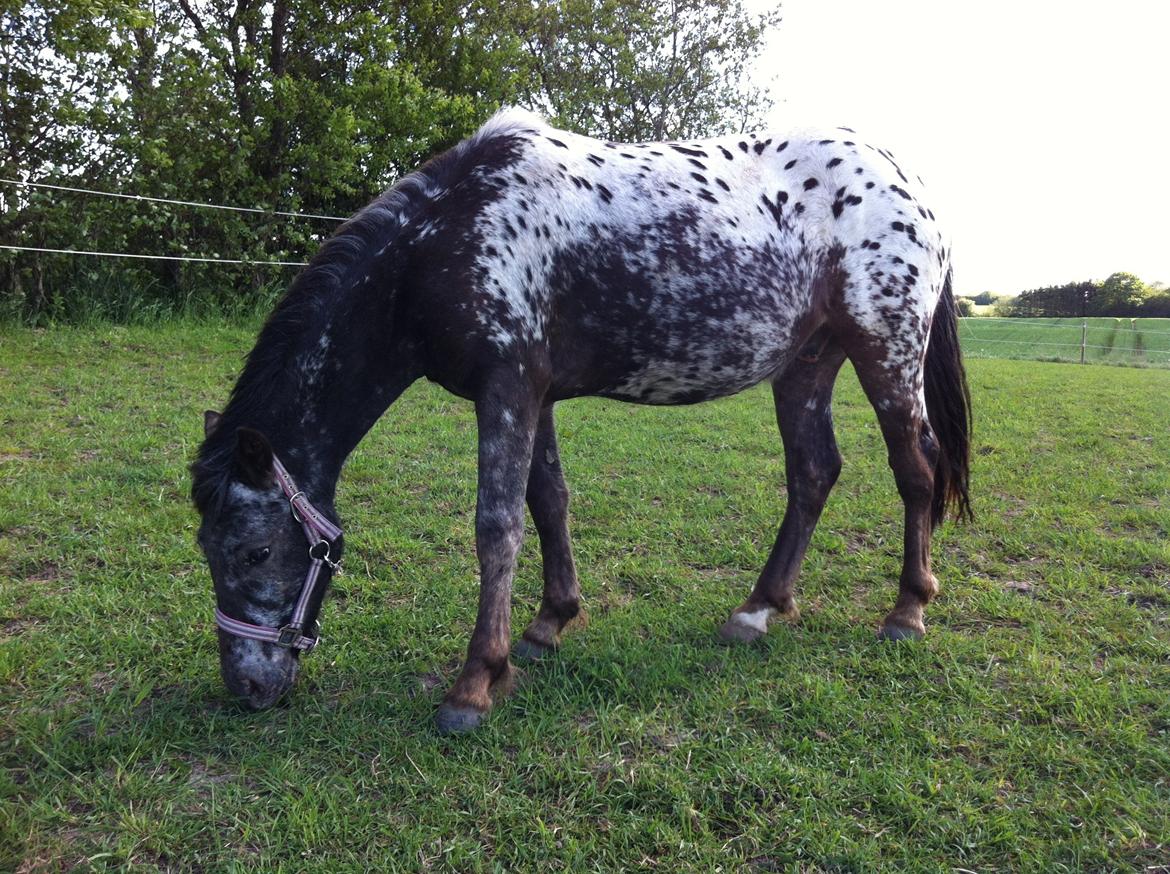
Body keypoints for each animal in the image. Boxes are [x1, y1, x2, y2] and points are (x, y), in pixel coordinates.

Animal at [191, 111, 973, 739]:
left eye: (255, 552)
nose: (248, 688)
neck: (447, 239)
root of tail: (911, 186)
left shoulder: (507, 386)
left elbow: (497, 526)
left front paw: (473, 686)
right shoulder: (533, 393)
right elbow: (549, 503)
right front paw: (547, 626)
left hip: (885, 352)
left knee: (916, 468)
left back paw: (906, 613)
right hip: (807, 363)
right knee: (814, 472)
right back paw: (757, 611)